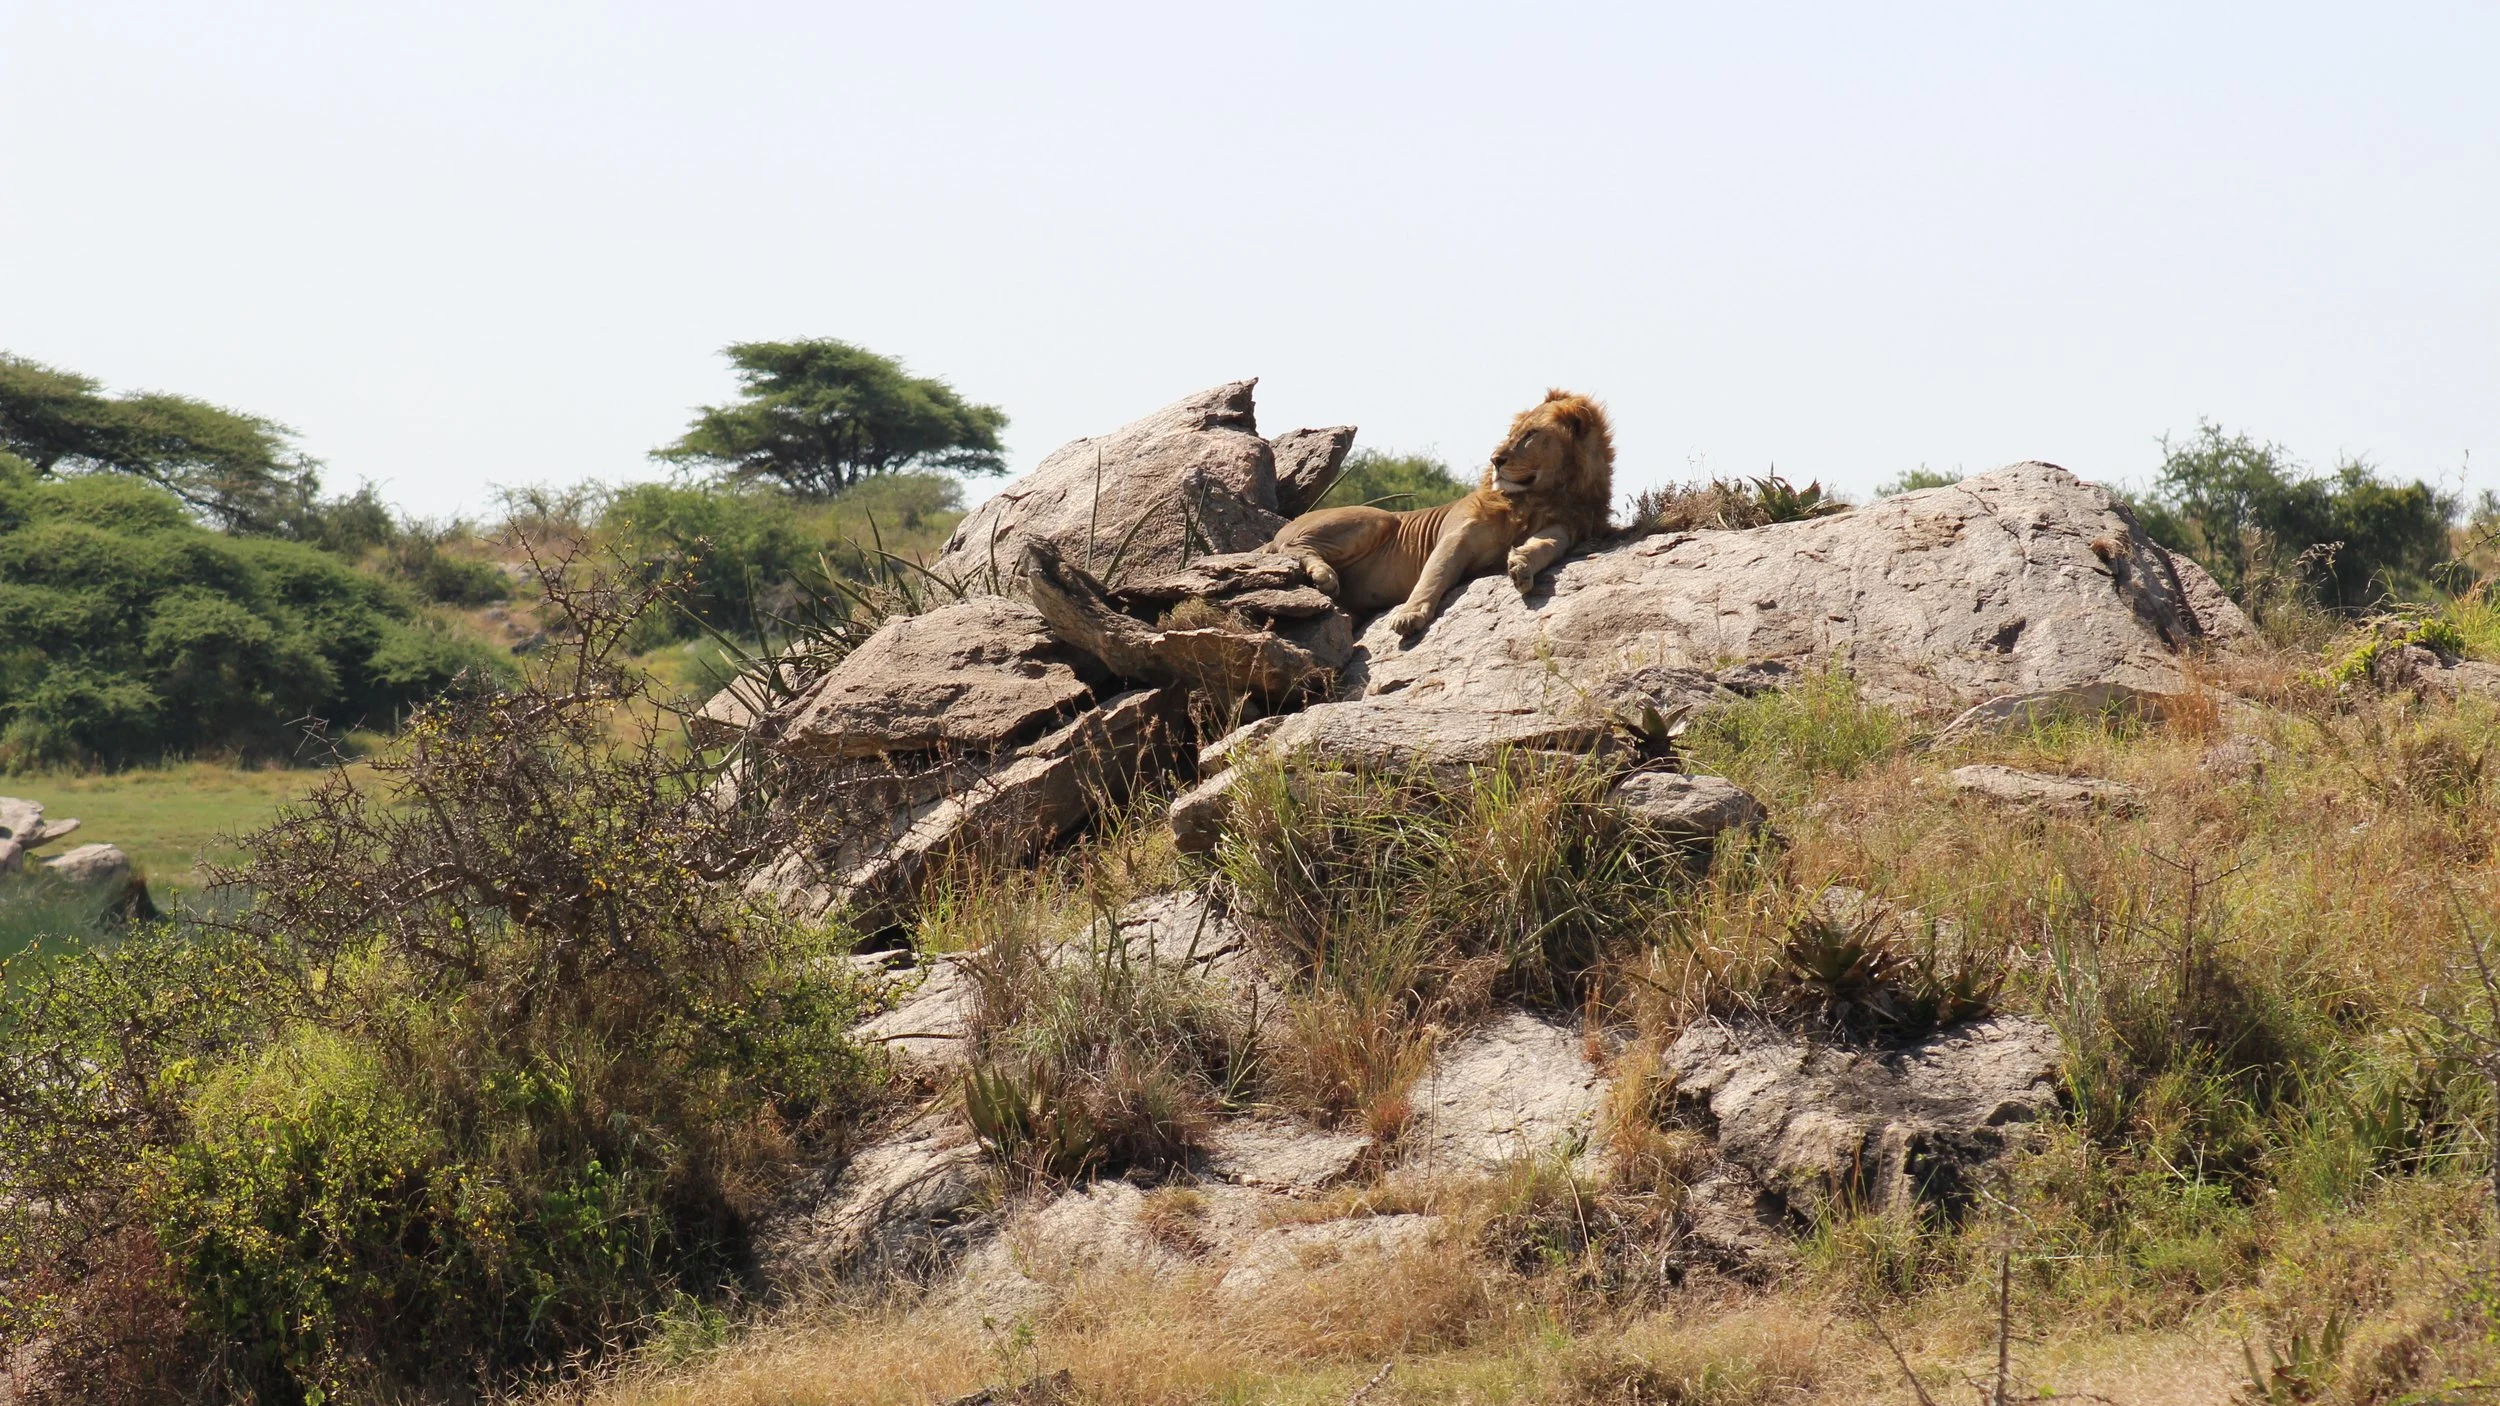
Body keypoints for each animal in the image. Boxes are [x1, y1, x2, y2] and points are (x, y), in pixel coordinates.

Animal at [1268, 389, 1614, 636]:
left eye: (1530, 435)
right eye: (1512, 433)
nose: (1495, 459)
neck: (1539, 497)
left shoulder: (1565, 527)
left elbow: (1547, 545)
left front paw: (1522, 565)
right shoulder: (1456, 536)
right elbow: (1434, 574)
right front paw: (1410, 614)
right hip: (1378, 518)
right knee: (1292, 547)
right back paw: (1324, 576)